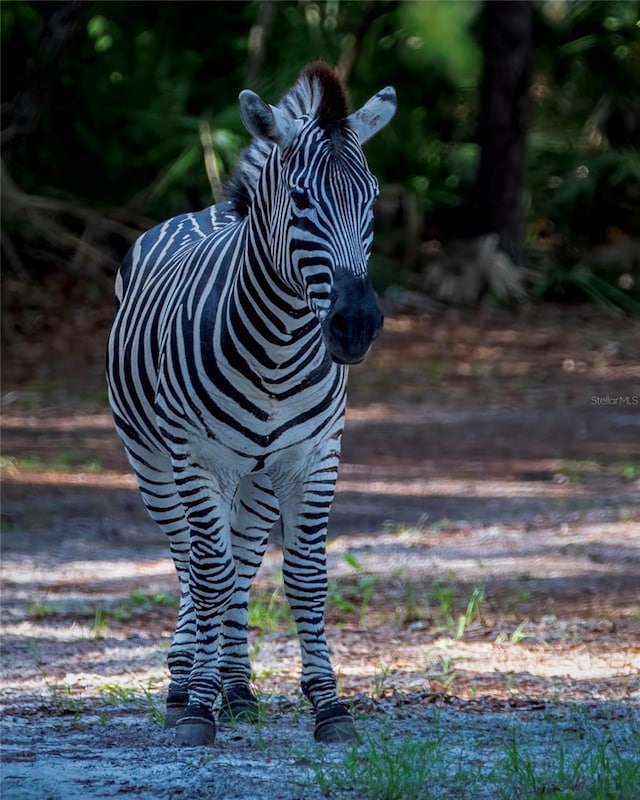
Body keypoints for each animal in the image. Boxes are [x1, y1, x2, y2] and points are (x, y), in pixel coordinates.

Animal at [106, 64, 396, 752]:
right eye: (301, 200)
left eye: (372, 200)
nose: (355, 326)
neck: (277, 348)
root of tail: (205, 210)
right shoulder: (198, 460)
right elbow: (207, 574)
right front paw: (196, 708)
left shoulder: (313, 458)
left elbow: (304, 579)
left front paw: (329, 706)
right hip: (152, 462)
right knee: (192, 561)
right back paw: (187, 681)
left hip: (260, 476)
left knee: (238, 563)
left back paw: (236, 688)